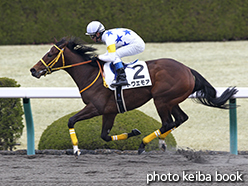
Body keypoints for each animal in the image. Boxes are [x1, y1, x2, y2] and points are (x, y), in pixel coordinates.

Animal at [30, 36, 237, 155]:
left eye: (50, 54)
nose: (33, 70)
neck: (90, 74)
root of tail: (187, 69)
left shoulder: (95, 107)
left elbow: (71, 121)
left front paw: (75, 149)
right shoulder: (110, 111)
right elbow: (105, 136)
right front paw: (134, 132)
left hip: (161, 100)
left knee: (168, 122)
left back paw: (144, 144)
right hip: (172, 100)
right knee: (180, 119)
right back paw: (160, 143)